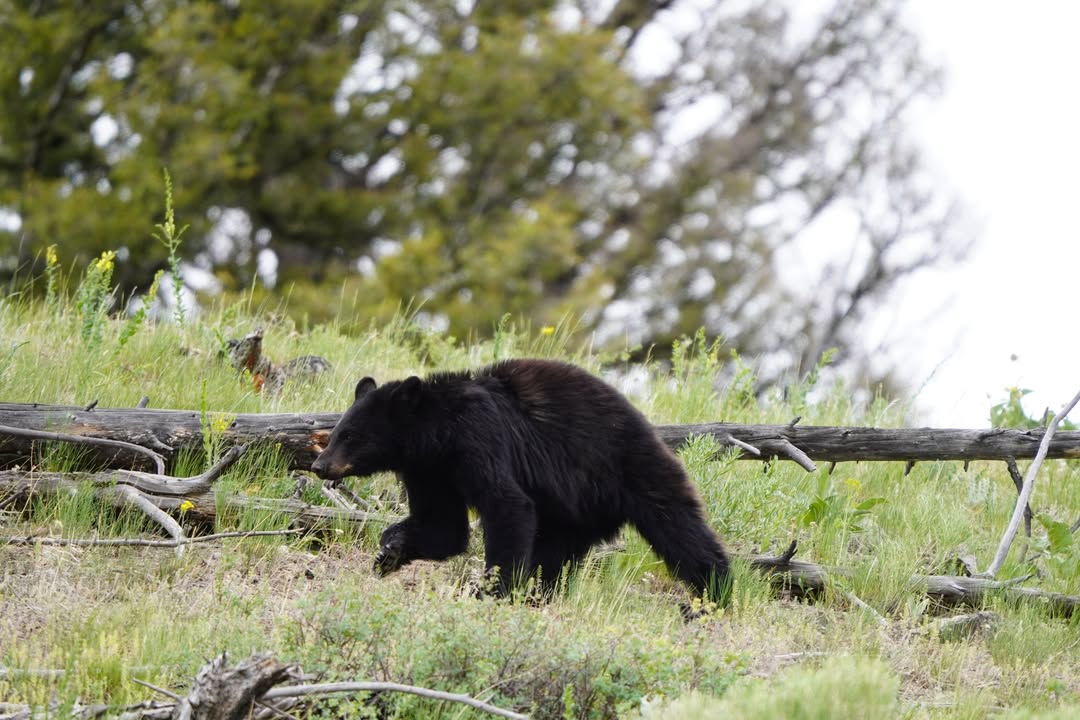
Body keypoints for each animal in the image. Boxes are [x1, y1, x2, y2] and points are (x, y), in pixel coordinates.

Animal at [310, 358, 732, 603]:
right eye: (336, 433)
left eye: (352, 436)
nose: (319, 465)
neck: (438, 434)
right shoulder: (430, 471)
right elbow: (442, 527)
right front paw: (390, 551)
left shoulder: (480, 440)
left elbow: (507, 506)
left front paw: (492, 589)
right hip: (575, 512)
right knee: (555, 554)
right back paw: (538, 595)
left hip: (633, 471)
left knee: (679, 529)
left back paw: (716, 593)